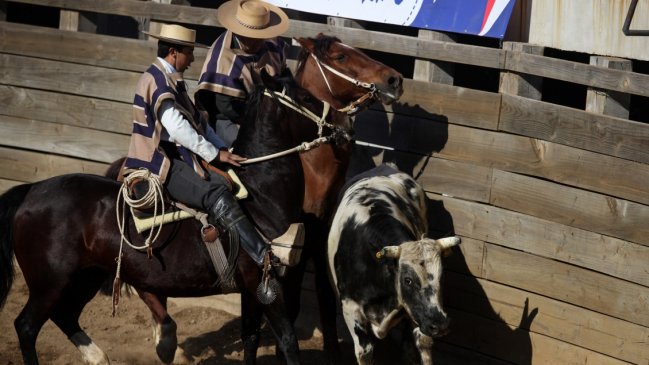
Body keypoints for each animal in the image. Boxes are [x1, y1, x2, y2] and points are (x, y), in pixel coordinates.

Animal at [0, 69, 334, 364]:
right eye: (306, 96)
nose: (338, 124)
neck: (261, 195)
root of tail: (31, 190)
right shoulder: (265, 284)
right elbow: (288, 341)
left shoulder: (252, 291)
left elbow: (250, 339)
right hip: (50, 282)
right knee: (26, 326)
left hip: (86, 275)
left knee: (64, 315)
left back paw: (100, 357)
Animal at [326, 164, 458, 362]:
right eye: (407, 280)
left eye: (442, 277)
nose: (440, 325)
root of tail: (385, 166)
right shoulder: (351, 309)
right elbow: (365, 352)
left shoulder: (414, 312)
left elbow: (420, 345)